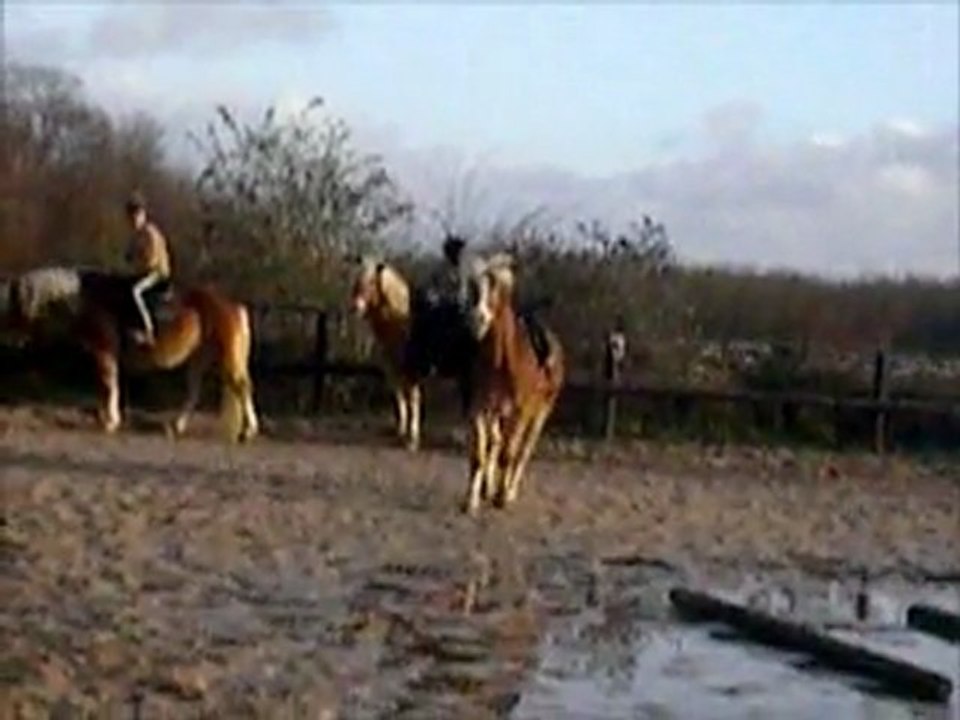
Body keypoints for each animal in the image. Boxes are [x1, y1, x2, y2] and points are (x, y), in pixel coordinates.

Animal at [4, 266, 259, 442]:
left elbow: (108, 384)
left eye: (15, 302)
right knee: (194, 393)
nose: (13, 341)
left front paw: (110, 421)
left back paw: (248, 431)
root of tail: (232, 305)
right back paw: (176, 427)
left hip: (226, 359)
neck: (84, 298)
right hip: (200, 359)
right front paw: (107, 418)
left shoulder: (104, 353)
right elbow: (107, 385)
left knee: (242, 388)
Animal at [350, 257, 475, 450]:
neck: (400, 321)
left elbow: (413, 400)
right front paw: (402, 433)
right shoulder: (394, 371)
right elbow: (400, 398)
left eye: (372, 282)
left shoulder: (411, 372)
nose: (356, 307)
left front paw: (412, 439)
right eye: (355, 280)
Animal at [459, 253, 565, 514]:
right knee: (496, 444)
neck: (502, 359)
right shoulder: (480, 408)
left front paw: (501, 497)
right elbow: (480, 454)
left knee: (522, 452)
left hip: (539, 414)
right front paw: (471, 500)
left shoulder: (520, 411)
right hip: (500, 414)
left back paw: (510, 490)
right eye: (473, 286)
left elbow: (509, 454)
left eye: (497, 287)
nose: (478, 319)